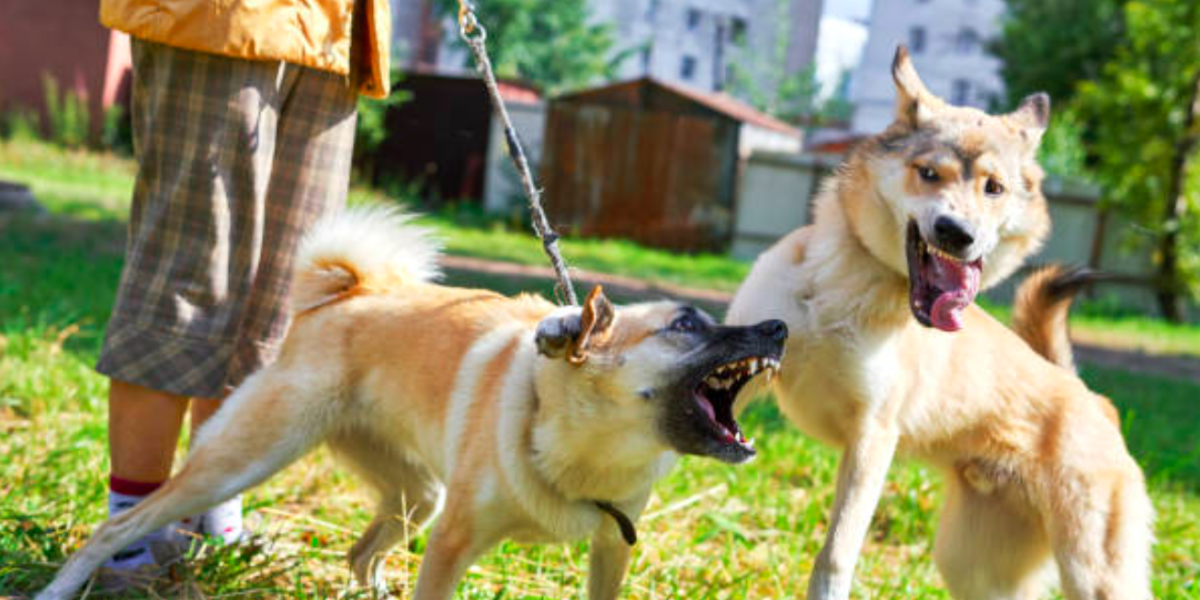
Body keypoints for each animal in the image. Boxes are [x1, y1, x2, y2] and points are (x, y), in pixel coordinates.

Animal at [35, 207, 787, 600]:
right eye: (686, 324)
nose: (779, 327)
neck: (585, 445)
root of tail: (351, 294)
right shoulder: (451, 543)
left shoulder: (610, 550)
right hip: (244, 459)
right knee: (118, 527)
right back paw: (63, 586)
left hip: (415, 496)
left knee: (360, 556)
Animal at [720, 46, 1152, 600]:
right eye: (928, 172)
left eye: (994, 188)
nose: (957, 233)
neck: (845, 287)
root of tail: (1092, 400)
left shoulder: (872, 437)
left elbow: (835, 555)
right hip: (974, 568)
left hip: (1093, 572)